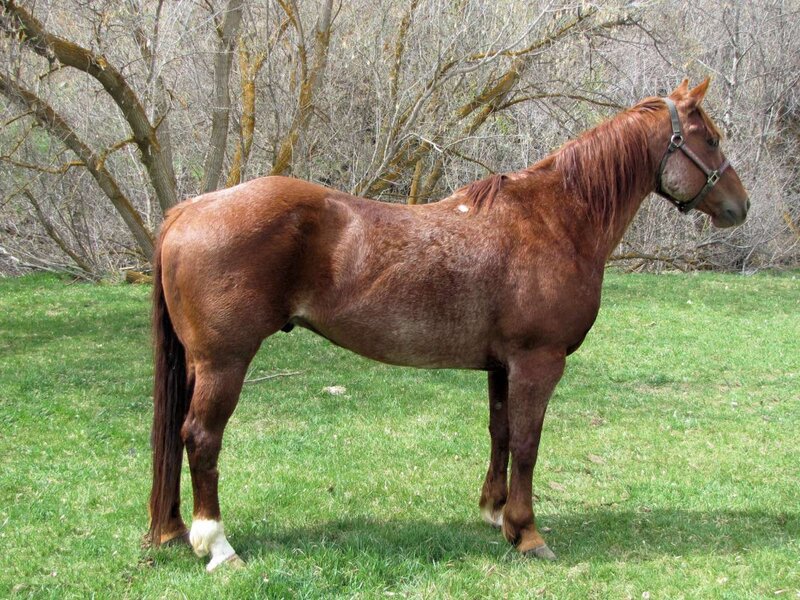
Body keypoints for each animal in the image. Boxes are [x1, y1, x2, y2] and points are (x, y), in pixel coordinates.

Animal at [147, 79, 749, 571]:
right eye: (710, 138)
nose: (740, 207)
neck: (555, 218)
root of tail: (187, 211)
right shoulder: (537, 362)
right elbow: (528, 442)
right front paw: (528, 533)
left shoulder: (503, 366)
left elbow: (501, 433)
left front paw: (496, 515)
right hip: (224, 363)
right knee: (201, 438)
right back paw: (217, 545)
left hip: (200, 365)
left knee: (178, 434)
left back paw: (173, 531)